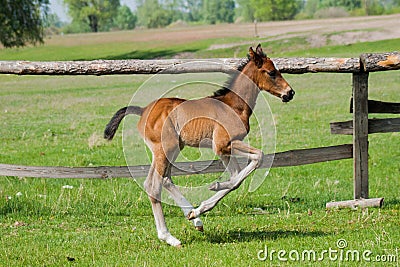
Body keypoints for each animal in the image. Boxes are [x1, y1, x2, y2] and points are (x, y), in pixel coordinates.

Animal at [104, 44, 296, 247]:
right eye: (272, 72)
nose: (290, 93)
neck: (234, 106)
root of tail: (143, 111)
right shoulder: (223, 144)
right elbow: (256, 159)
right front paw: (214, 186)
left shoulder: (224, 150)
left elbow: (236, 176)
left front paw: (203, 204)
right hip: (164, 150)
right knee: (153, 186)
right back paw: (169, 237)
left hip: (171, 150)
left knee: (163, 180)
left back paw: (194, 219)